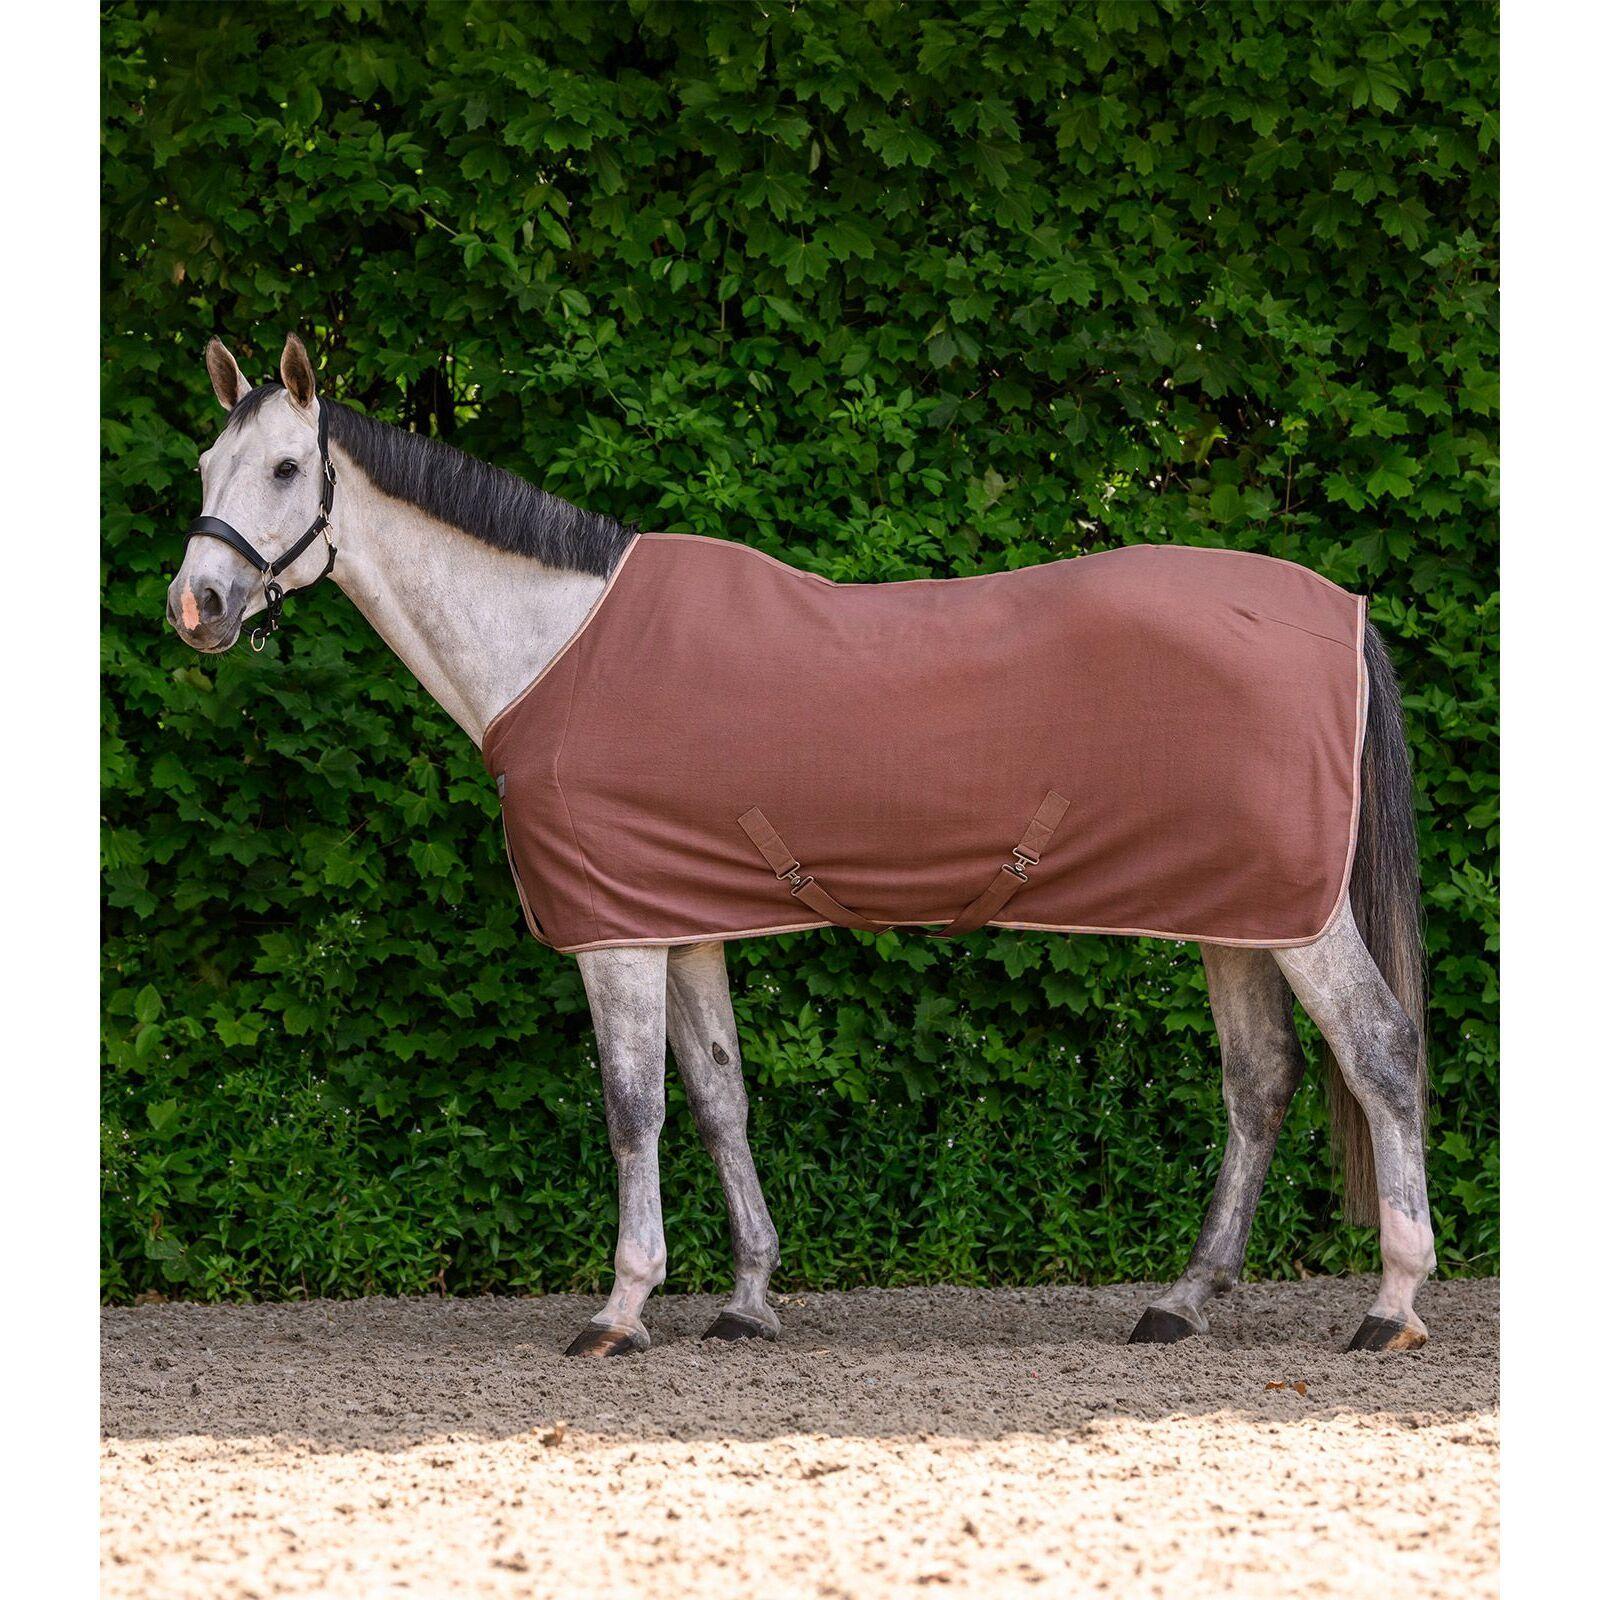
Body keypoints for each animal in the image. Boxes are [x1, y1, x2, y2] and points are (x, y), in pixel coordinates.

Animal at [164, 332, 1435, 1357]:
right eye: (204, 469)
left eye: (286, 468)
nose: (198, 606)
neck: (555, 642)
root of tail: (1344, 610)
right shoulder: (679, 921)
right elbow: (719, 1096)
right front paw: (746, 1299)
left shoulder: (615, 936)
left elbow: (632, 1107)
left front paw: (621, 1309)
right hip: (1237, 915)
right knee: (1259, 1083)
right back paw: (1181, 1299)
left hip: (1303, 918)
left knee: (1379, 1051)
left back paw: (1391, 1304)